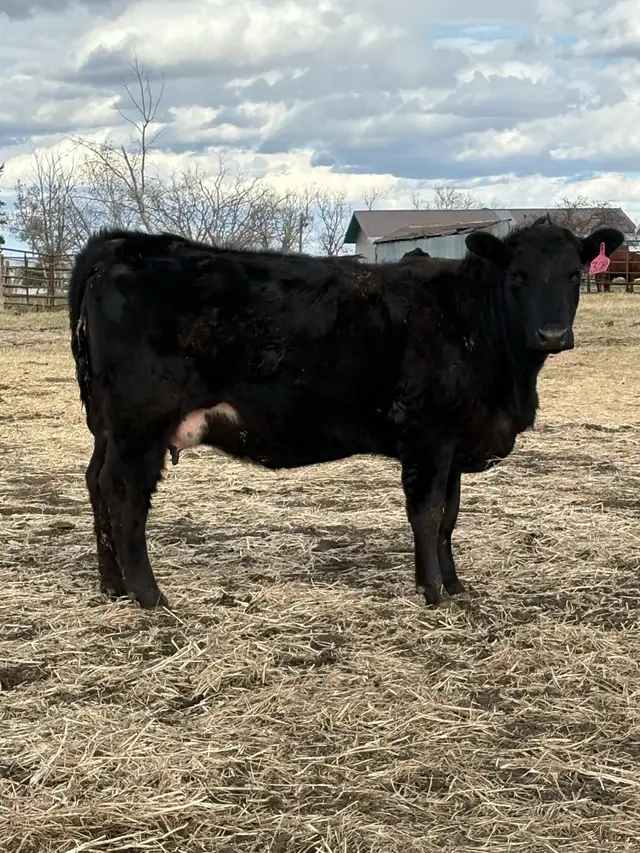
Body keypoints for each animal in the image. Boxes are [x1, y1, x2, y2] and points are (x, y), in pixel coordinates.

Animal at [68, 218, 624, 610]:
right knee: (124, 494)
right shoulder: (428, 436)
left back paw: (113, 586)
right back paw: (149, 596)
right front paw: (432, 592)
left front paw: (454, 584)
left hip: (108, 426)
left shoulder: (453, 440)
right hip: (141, 423)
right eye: (518, 275)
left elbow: (450, 516)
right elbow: (427, 514)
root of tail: (129, 246)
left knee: (96, 483)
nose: (552, 333)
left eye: (573, 274)